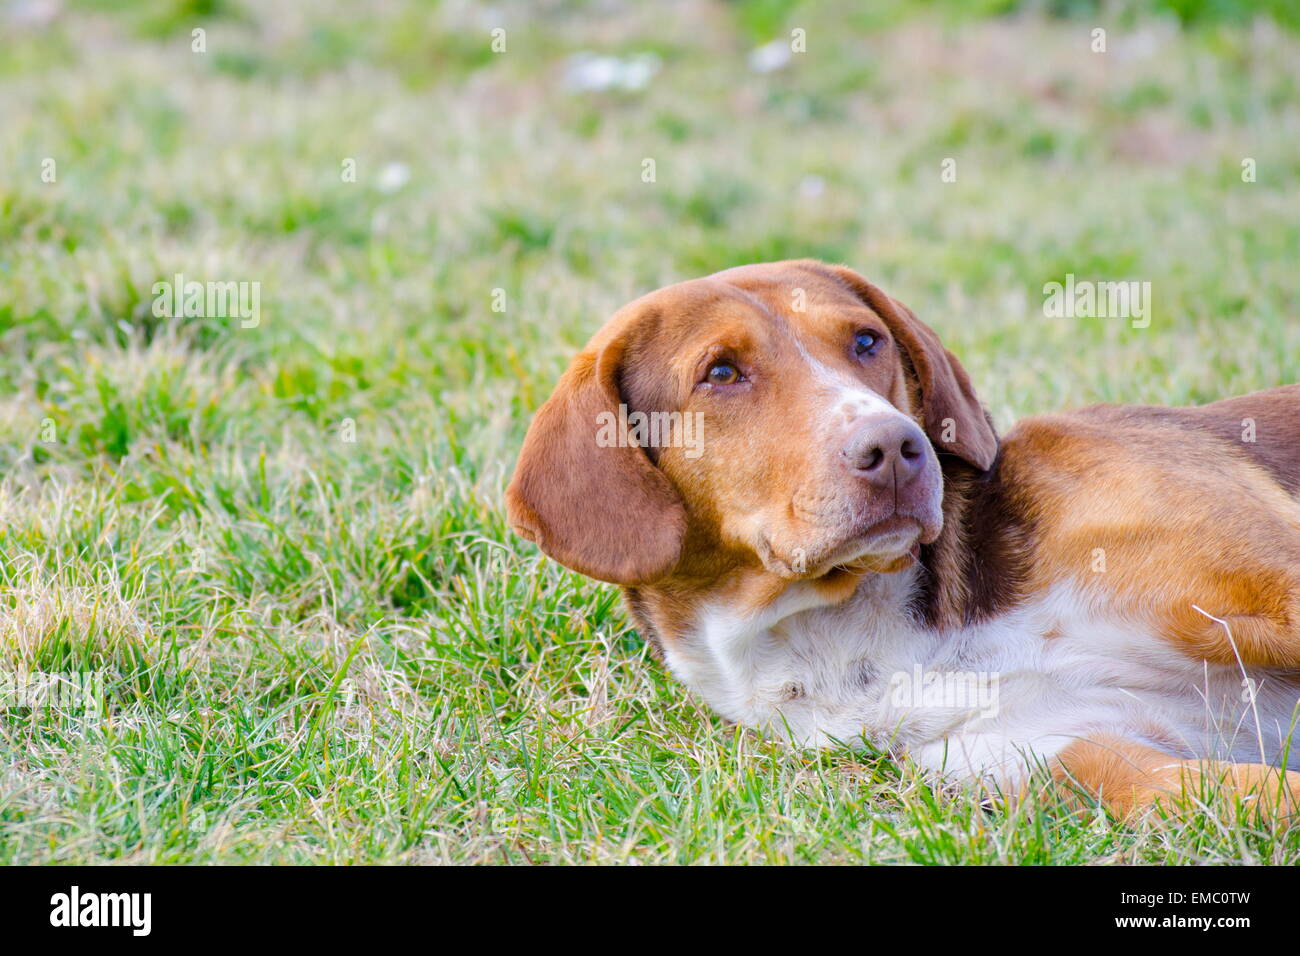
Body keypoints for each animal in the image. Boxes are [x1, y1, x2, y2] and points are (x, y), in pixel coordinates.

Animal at [504, 261, 1300, 822]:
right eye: (721, 372)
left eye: (866, 340)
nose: (893, 446)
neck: (850, 638)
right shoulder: (1084, 756)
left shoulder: (1272, 581)